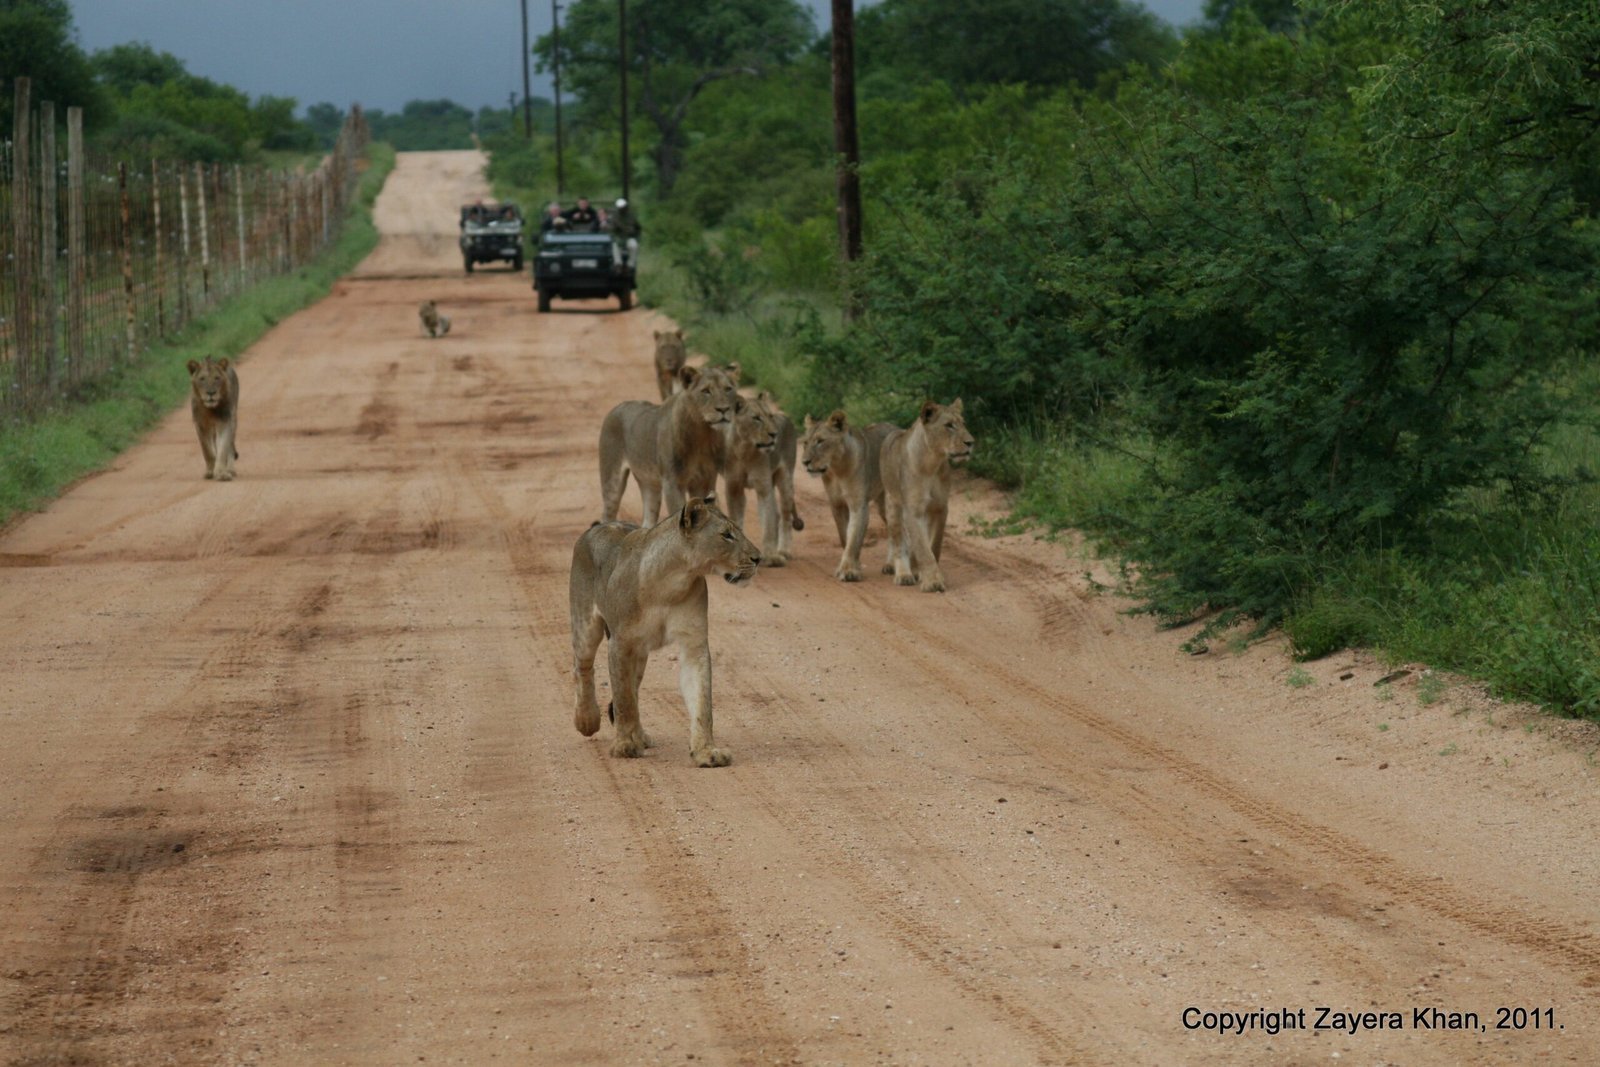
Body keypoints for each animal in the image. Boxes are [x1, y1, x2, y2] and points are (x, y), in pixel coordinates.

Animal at [569, 496, 761, 766]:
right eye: (726, 535)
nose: (758, 558)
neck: (672, 581)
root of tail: (597, 526)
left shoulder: (694, 644)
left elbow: (702, 702)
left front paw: (706, 751)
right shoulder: (620, 643)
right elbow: (623, 699)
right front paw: (624, 745)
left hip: (639, 653)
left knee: (634, 688)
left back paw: (640, 735)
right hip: (586, 625)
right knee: (583, 669)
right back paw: (587, 719)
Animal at [599, 363, 739, 526]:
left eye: (728, 389)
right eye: (706, 391)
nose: (724, 409)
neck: (703, 434)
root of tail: (616, 408)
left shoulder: (705, 480)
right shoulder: (672, 482)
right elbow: (678, 512)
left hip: (649, 483)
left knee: (648, 521)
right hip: (612, 480)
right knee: (607, 514)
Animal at [723, 391, 804, 566]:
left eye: (769, 416)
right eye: (756, 418)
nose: (774, 434)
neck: (745, 450)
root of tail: (786, 417)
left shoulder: (763, 488)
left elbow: (768, 523)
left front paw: (770, 556)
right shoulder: (733, 488)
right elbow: (736, 519)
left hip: (786, 480)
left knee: (785, 517)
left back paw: (783, 551)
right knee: (777, 514)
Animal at [799, 410, 897, 582]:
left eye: (820, 441)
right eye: (805, 442)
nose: (805, 462)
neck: (836, 469)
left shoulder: (858, 505)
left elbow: (854, 538)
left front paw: (849, 571)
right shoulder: (837, 505)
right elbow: (845, 538)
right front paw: (854, 566)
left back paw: (894, 565)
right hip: (881, 503)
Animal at [879, 398, 975, 592]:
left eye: (963, 423)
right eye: (949, 425)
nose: (971, 443)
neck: (932, 463)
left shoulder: (940, 508)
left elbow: (933, 546)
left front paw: (927, 575)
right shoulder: (912, 510)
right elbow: (922, 548)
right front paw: (932, 582)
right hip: (892, 504)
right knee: (898, 541)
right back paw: (903, 574)